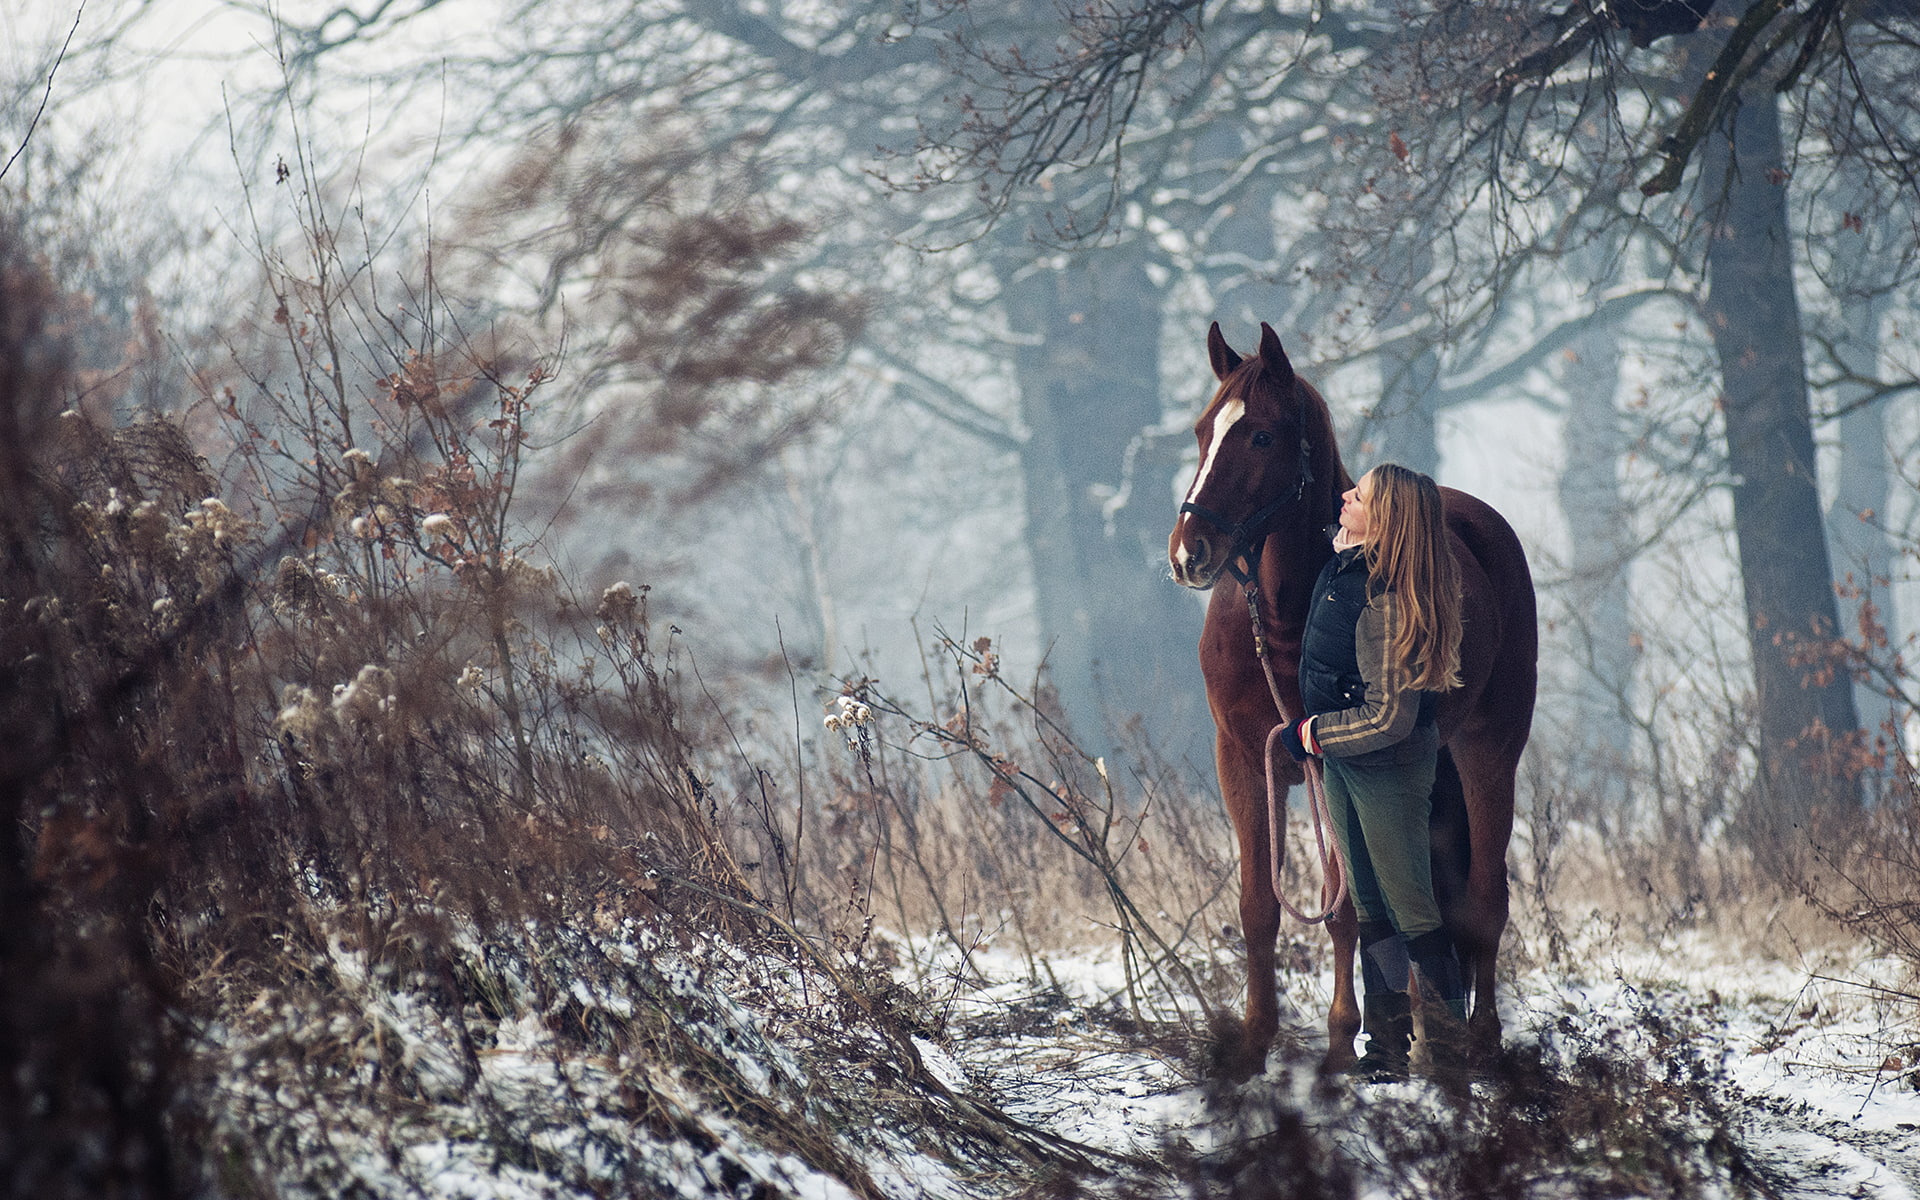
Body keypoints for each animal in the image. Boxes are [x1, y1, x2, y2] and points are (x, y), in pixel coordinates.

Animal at [1168, 321, 1537, 1078]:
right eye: (1200, 431)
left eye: (1261, 436)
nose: (1189, 553)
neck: (1287, 618)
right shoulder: (1243, 762)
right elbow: (1258, 904)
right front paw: (1253, 1043)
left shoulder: (1326, 762)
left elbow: (1341, 910)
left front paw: (1341, 1041)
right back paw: (1429, 1033)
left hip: (1489, 752)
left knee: (1483, 900)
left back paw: (1478, 1045)